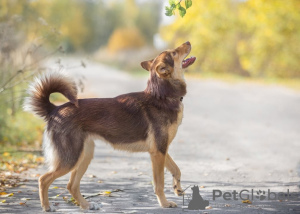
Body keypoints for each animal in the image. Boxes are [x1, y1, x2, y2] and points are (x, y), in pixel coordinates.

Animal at [24, 41, 197, 211]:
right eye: (174, 53)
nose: (188, 42)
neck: (162, 95)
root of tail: (55, 109)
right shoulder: (158, 152)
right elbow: (159, 183)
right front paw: (164, 203)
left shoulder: (161, 150)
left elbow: (176, 169)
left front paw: (177, 188)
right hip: (70, 159)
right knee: (43, 179)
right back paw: (47, 207)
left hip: (84, 155)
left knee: (71, 185)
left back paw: (87, 205)